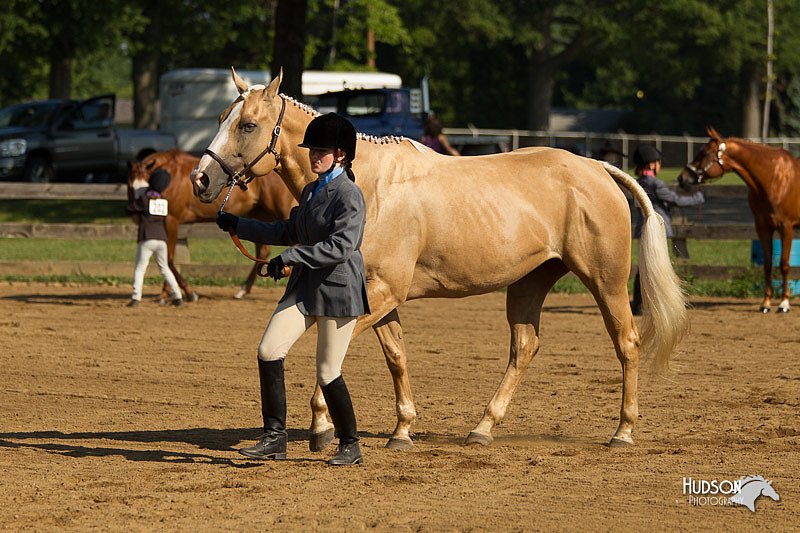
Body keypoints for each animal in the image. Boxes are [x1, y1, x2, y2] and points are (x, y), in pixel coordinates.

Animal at [126, 148, 296, 302]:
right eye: (130, 186)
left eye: (145, 186)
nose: (135, 213)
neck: (171, 177)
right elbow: (166, 260)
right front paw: (167, 294)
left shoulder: (171, 220)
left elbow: (169, 259)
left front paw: (187, 293)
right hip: (258, 215)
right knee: (263, 251)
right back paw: (242, 290)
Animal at [676, 127, 800, 314]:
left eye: (705, 153)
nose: (682, 178)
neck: (773, 178)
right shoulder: (762, 227)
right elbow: (767, 264)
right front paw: (765, 303)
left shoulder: (786, 227)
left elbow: (784, 264)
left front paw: (784, 303)